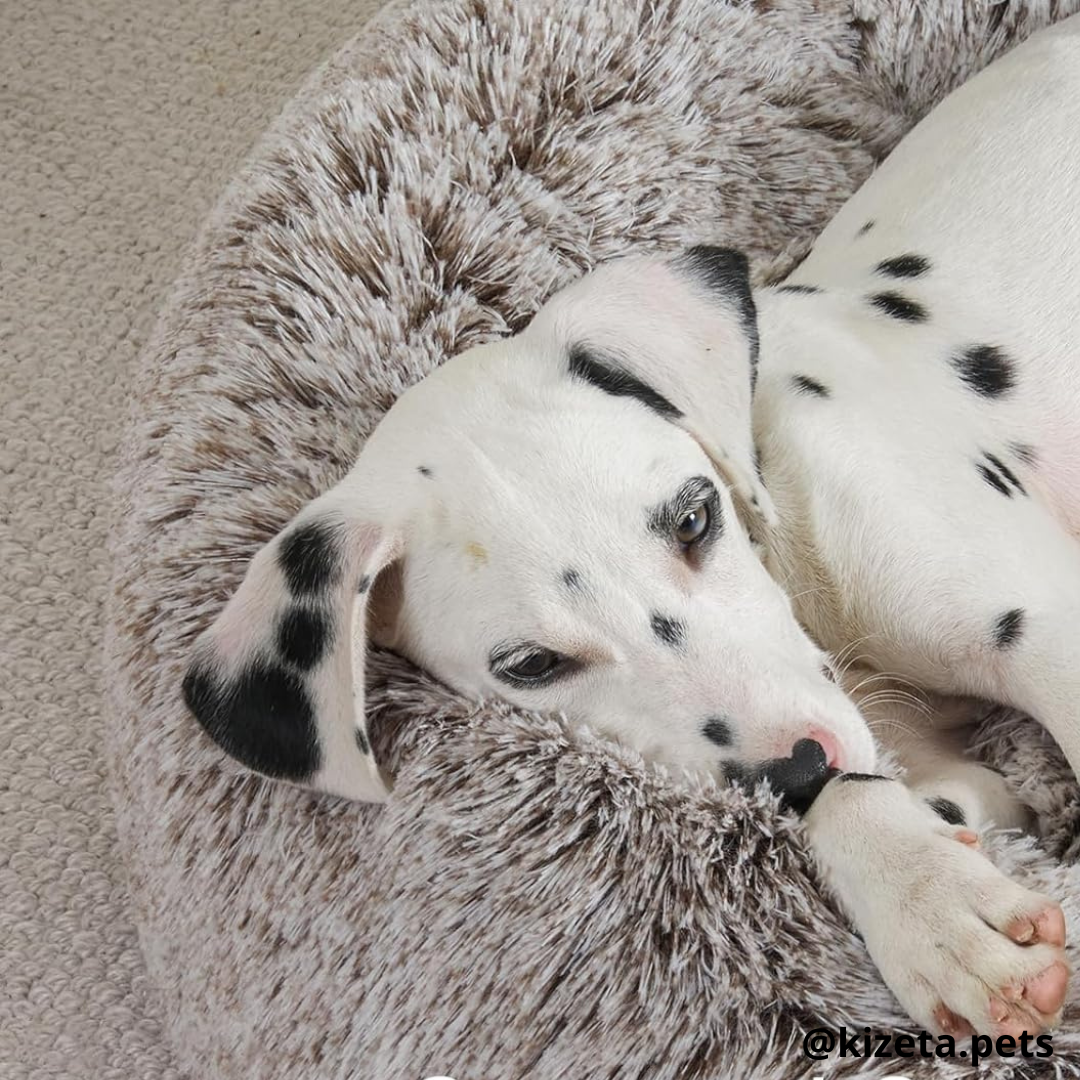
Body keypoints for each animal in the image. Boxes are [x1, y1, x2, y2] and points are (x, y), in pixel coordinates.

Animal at [181, 10, 1075, 1036]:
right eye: (532, 666)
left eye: (693, 517)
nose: (792, 774)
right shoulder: (936, 775)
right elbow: (892, 794)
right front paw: (932, 910)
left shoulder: (1046, 629)